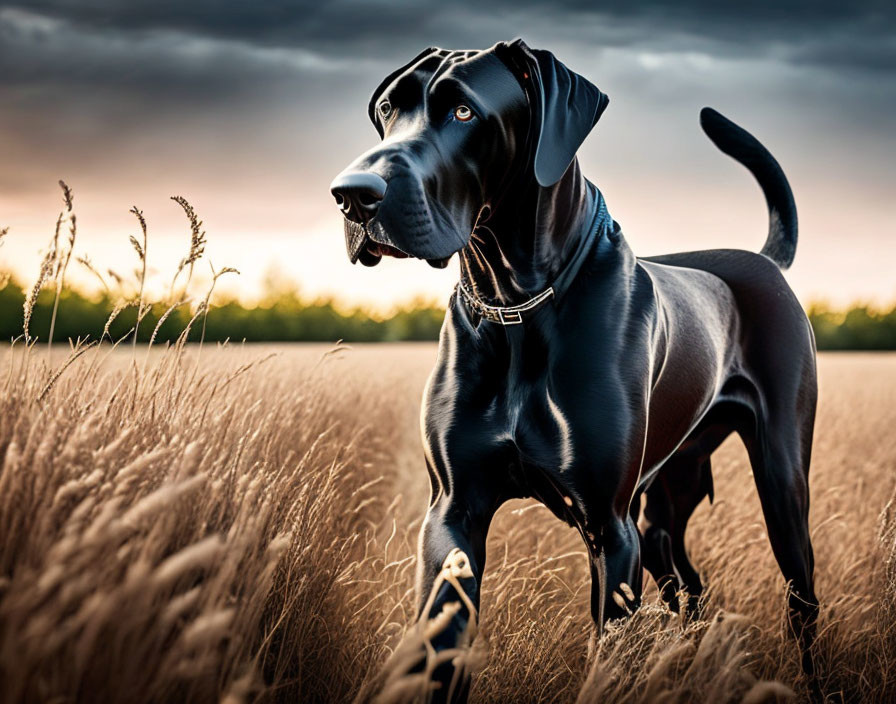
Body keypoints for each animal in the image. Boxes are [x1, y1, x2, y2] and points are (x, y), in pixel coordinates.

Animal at [330, 41, 820, 700]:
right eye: (388, 108)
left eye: (463, 111)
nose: (352, 194)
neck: (514, 301)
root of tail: (764, 261)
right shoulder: (452, 514)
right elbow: (444, 645)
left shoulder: (610, 530)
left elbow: (607, 660)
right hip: (665, 505)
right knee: (689, 585)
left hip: (780, 484)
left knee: (801, 600)